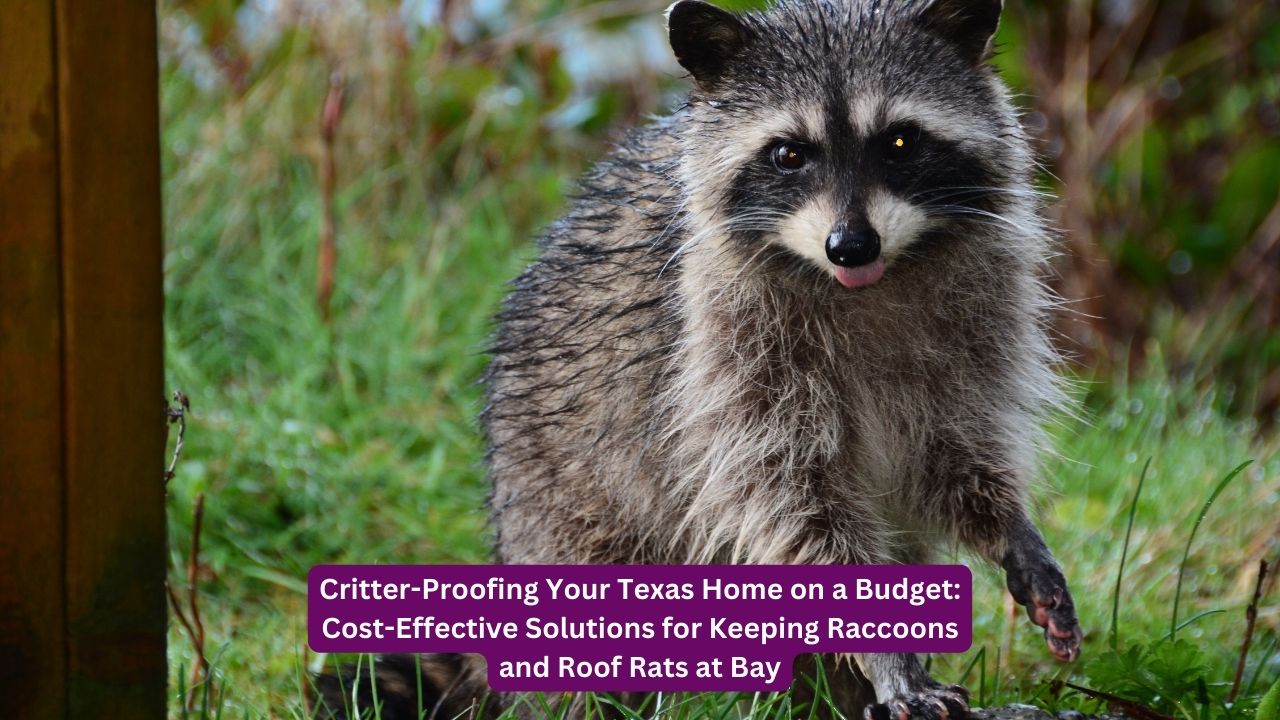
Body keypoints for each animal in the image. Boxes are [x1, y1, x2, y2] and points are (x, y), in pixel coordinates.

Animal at [314, 0, 1083, 718]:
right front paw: (889, 658)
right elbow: (793, 504)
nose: (850, 245)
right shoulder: (725, 358)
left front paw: (1009, 527)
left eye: (900, 141)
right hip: (559, 504)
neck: (867, 284)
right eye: (788, 154)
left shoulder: (975, 326)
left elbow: (951, 454)